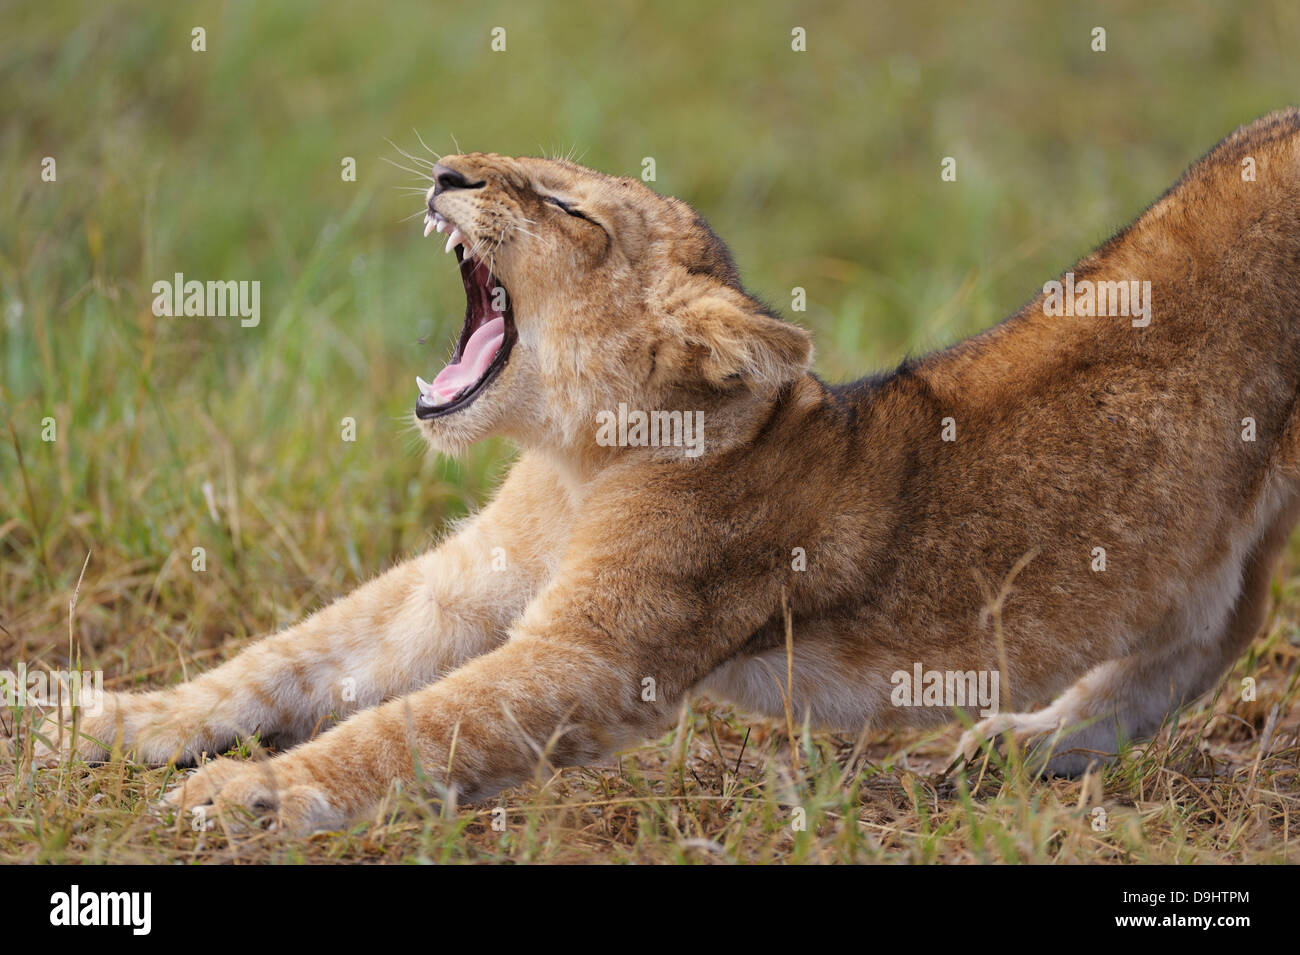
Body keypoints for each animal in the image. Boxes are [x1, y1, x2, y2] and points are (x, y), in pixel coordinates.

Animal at [25, 110, 1300, 833]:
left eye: (562, 203)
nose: (447, 172)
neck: (577, 458)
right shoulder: (460, 583)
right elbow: (293, 653)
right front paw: (107, 719)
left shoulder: (594, 659)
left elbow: (412, 729)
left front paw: (244, 795)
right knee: (1211, 625)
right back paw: (1028, 744)